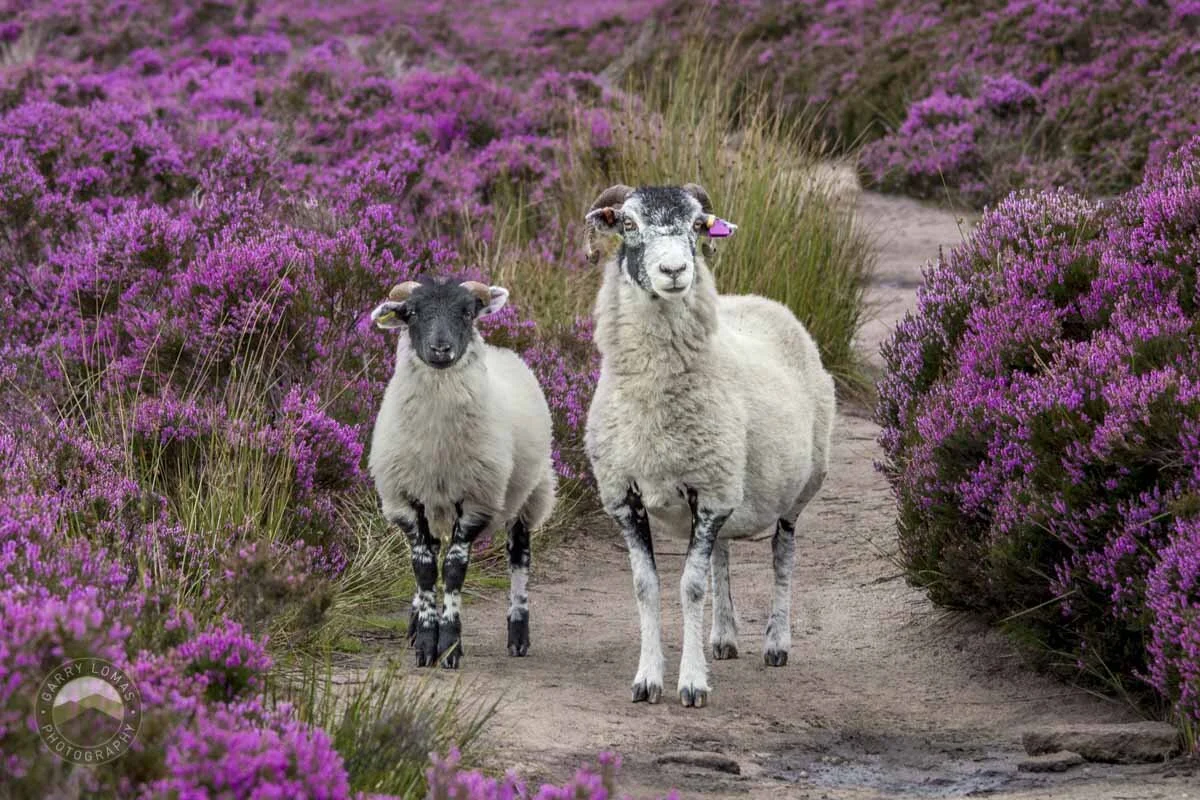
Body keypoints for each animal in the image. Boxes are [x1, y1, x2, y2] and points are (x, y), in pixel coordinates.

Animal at [368, 278, 556, 668]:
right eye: (411, 313)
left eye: (468, 312)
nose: (441, 349)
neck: (438, 443)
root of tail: (503, 351)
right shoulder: (406, 499)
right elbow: (423, 568)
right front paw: (426, 640)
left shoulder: (476, 501)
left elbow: (454, 570)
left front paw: (450, 644)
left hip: (531, 493)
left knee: (519, 558)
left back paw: (518, 633)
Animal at [583, 184, 836, 707]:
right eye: (628, 223)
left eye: (698, 225)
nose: (675, 271)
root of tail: (759, 300)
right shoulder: (626, 496)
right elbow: (646, 587)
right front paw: (647, 679)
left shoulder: (711, 493)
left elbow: (691, 587)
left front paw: (692, 682)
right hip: (727, 484)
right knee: (722, 552)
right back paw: (723, 637)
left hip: (798, 490)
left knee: (782, 555)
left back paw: (776, 643)